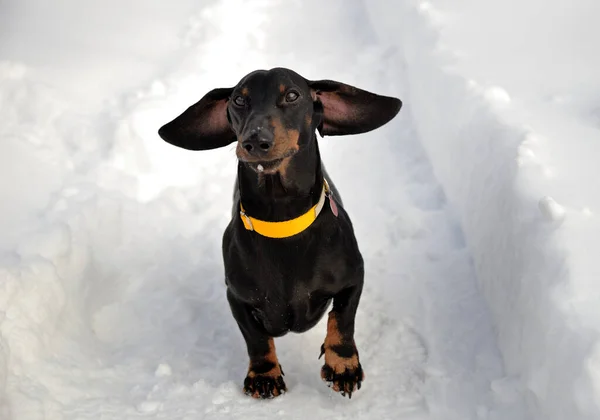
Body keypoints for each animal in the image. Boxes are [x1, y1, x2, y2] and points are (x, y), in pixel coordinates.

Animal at [159, 67, 404, 398]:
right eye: (238, 100)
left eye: (292, 95)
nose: (256, 141)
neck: (282, 224)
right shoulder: (237, 297)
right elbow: (256, 338)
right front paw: (264, 374)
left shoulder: (354, 277)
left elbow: (343, 318)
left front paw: (343, 364)